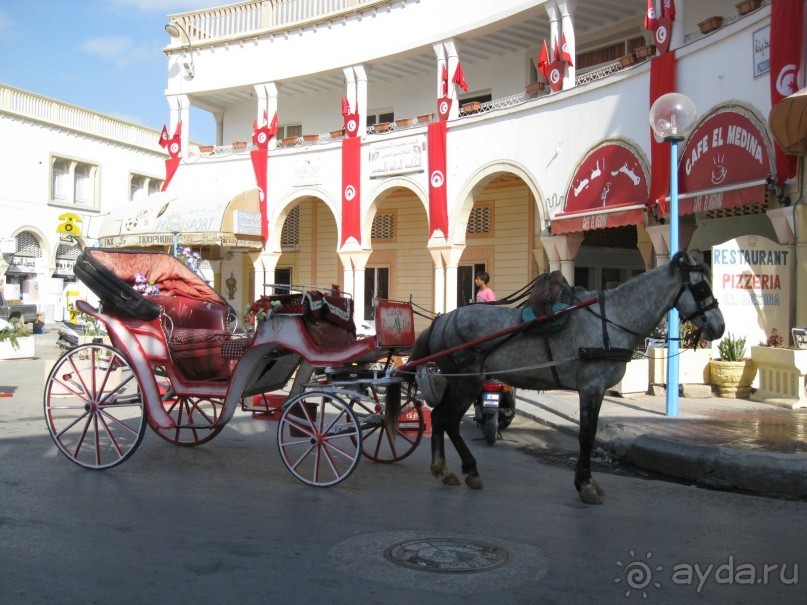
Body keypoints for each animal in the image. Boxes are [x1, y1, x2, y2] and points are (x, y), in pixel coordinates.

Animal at [400, 250, 724, 504]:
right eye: (702, 289)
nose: (719, 327)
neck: (611, 319)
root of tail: (442, 320)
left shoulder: (594, 389)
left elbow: (588, 436)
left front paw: (587, 482)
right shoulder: (591, 387)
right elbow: (586, 436)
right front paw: (585, 485)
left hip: (459, 382)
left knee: (440, 418)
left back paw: (445, 469)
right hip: (466, 382)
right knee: (448, 420)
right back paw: (467, 469)